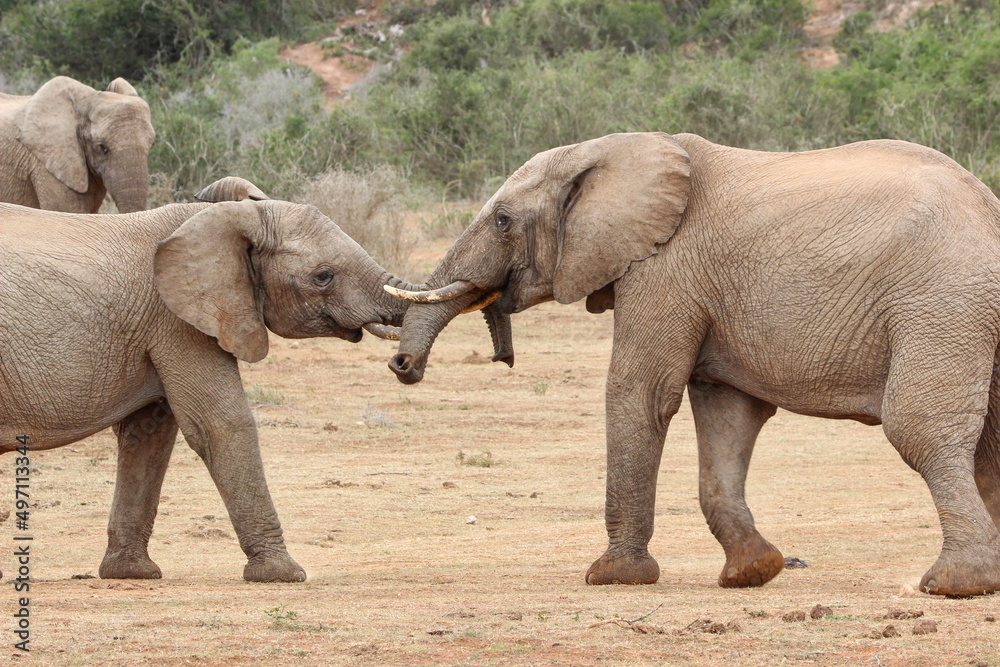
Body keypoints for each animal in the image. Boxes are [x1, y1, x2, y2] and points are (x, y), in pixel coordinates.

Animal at [0, 177, 416, 582]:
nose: (403, 364)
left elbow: (149, 434)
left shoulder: (158, 327)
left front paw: (132, 573)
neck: (218, 216)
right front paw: (284, 574)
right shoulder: (176, 320)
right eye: (323, 276)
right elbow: (221, 424)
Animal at [386, 132, 1000, 598]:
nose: (402, 365)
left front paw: (613, 577)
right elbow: (729, 416)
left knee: (920, 431)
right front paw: (752, 573)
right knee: (989, 445)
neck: (604, 150)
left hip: (941, 301)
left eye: (503, 221)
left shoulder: (664, 270)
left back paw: (955, 584)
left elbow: (641, 395)